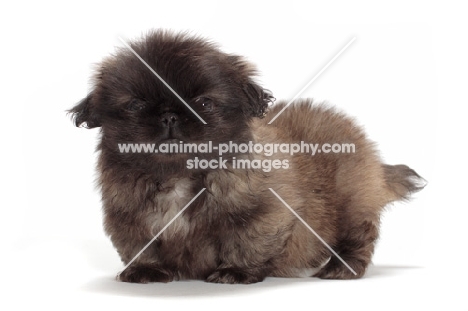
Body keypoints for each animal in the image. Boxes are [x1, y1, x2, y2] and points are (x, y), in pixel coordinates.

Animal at [68, 30, 424, 284]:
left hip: (354, 205)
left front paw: (236, 272)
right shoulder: (127, 216)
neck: (179, 175)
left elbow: (246, 241)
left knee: (360, 237)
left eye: (204, 103)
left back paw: (343, 268)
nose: (170, 116)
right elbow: (140, 244)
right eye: (136, 105)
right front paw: (147, 270)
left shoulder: (265, 213)